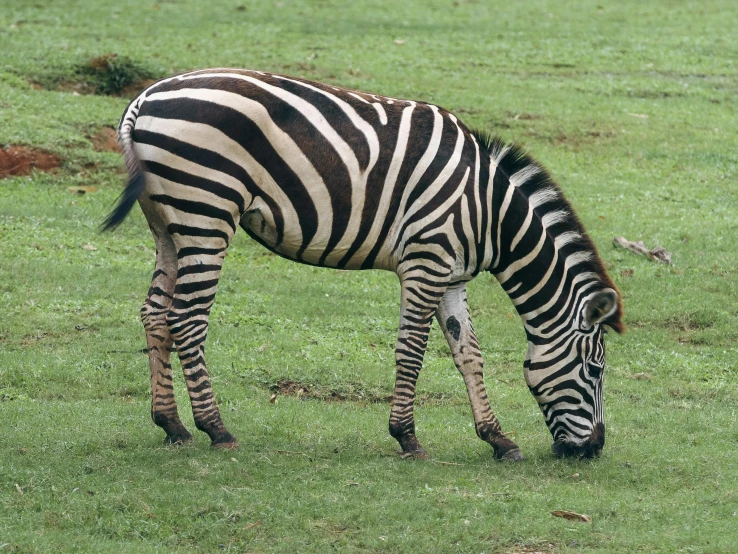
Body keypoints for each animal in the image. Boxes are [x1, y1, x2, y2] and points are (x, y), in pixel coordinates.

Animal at [103, 68, 620, 458]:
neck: (490, 213)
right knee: (186, 319)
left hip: (168, 225)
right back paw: (216, 428)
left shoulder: (451, 273)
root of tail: (143, 99)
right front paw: (407, 436)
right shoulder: (426, 261)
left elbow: (468, 353)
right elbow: (412, 350)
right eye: (595, 370)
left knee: (155, 314)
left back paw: (171, 424)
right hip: (206, 214)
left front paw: (498, 439)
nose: (594, 449)